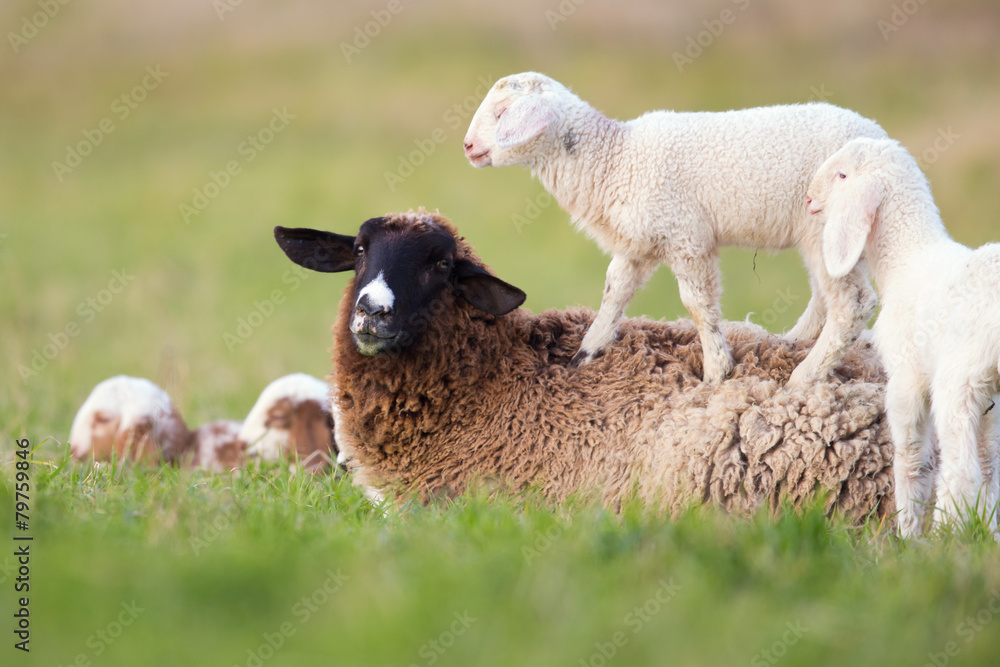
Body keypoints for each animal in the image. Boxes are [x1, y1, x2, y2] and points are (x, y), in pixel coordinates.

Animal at [462, 72, 887, 388]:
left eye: (502, 112)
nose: (467, 147)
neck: (615, 159)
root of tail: (885, 144)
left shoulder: (686, 237)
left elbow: (698, 306)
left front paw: (716, 372)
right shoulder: (637, 245)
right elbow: (613, 293)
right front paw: (584, 355)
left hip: (827, 227)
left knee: (852, 303)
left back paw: (804, 376)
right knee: (825, 295)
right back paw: (790, 342)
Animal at [807, 137, 1000, 537]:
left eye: (842, 175)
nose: (808, 199)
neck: (905, 260)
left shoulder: (906, 378)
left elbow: (911, 458)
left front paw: (908, 534)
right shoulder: (991, 403)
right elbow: (990, 467)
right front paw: (991, 534)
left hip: (957, 381)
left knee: (960, 472)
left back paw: (944, 537)